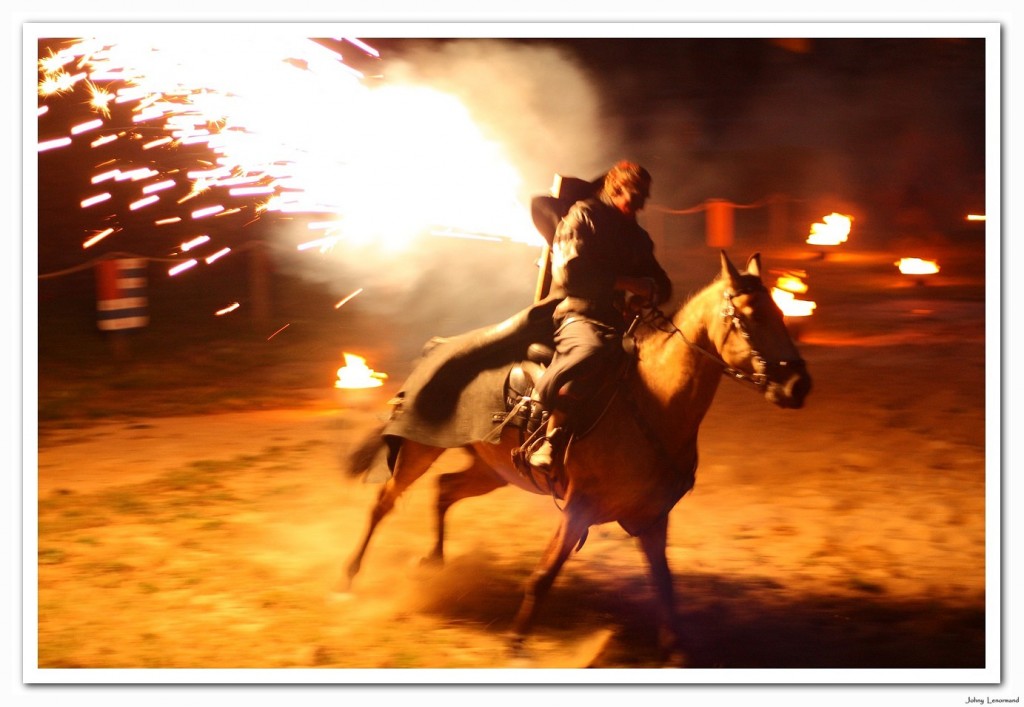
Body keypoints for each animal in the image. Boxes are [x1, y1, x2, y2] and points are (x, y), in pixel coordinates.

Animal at [339, 248, 811, 659]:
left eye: (780, 312)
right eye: (748, 318)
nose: (797, 386)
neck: (653, 403)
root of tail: (434, 347)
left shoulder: (652, 516)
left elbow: (663, 582)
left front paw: (675, 649)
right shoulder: (578, 508)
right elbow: (544, 575)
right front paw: (516, 643)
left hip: (492, 471)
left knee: (445, 489)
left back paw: (434, 560)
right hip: (419, 451)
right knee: (384, 503)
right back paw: (349, 578)